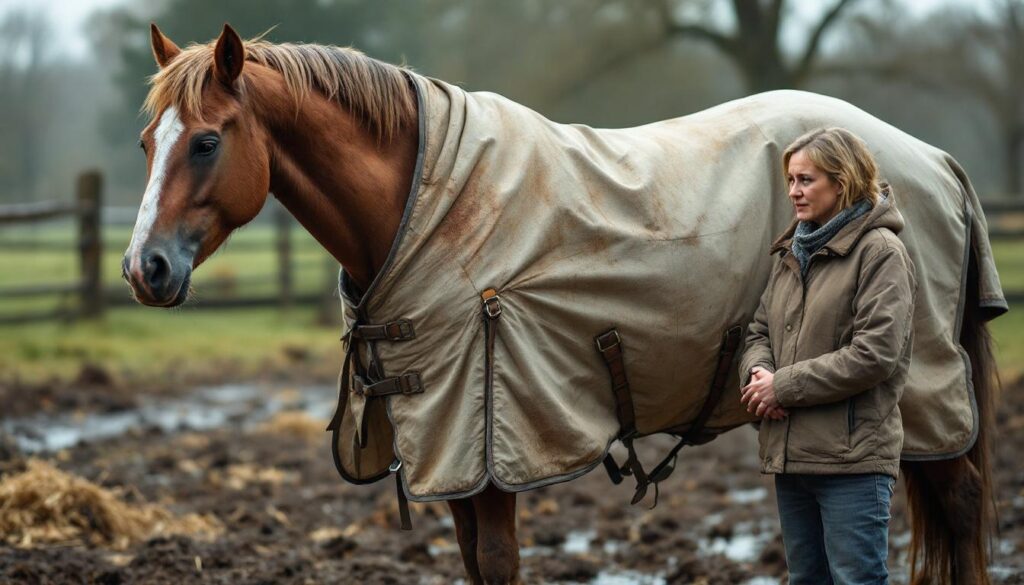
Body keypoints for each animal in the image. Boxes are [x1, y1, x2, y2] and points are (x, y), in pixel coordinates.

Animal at [122, 24, 1000, 585]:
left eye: (206, 140)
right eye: (145, 143)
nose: (143, 268)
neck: (427, 203)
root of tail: (935, 161)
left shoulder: (486, 445)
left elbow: (500, 564)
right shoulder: (446, 455)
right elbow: (474, 565)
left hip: (923, 396)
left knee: (960, 510)